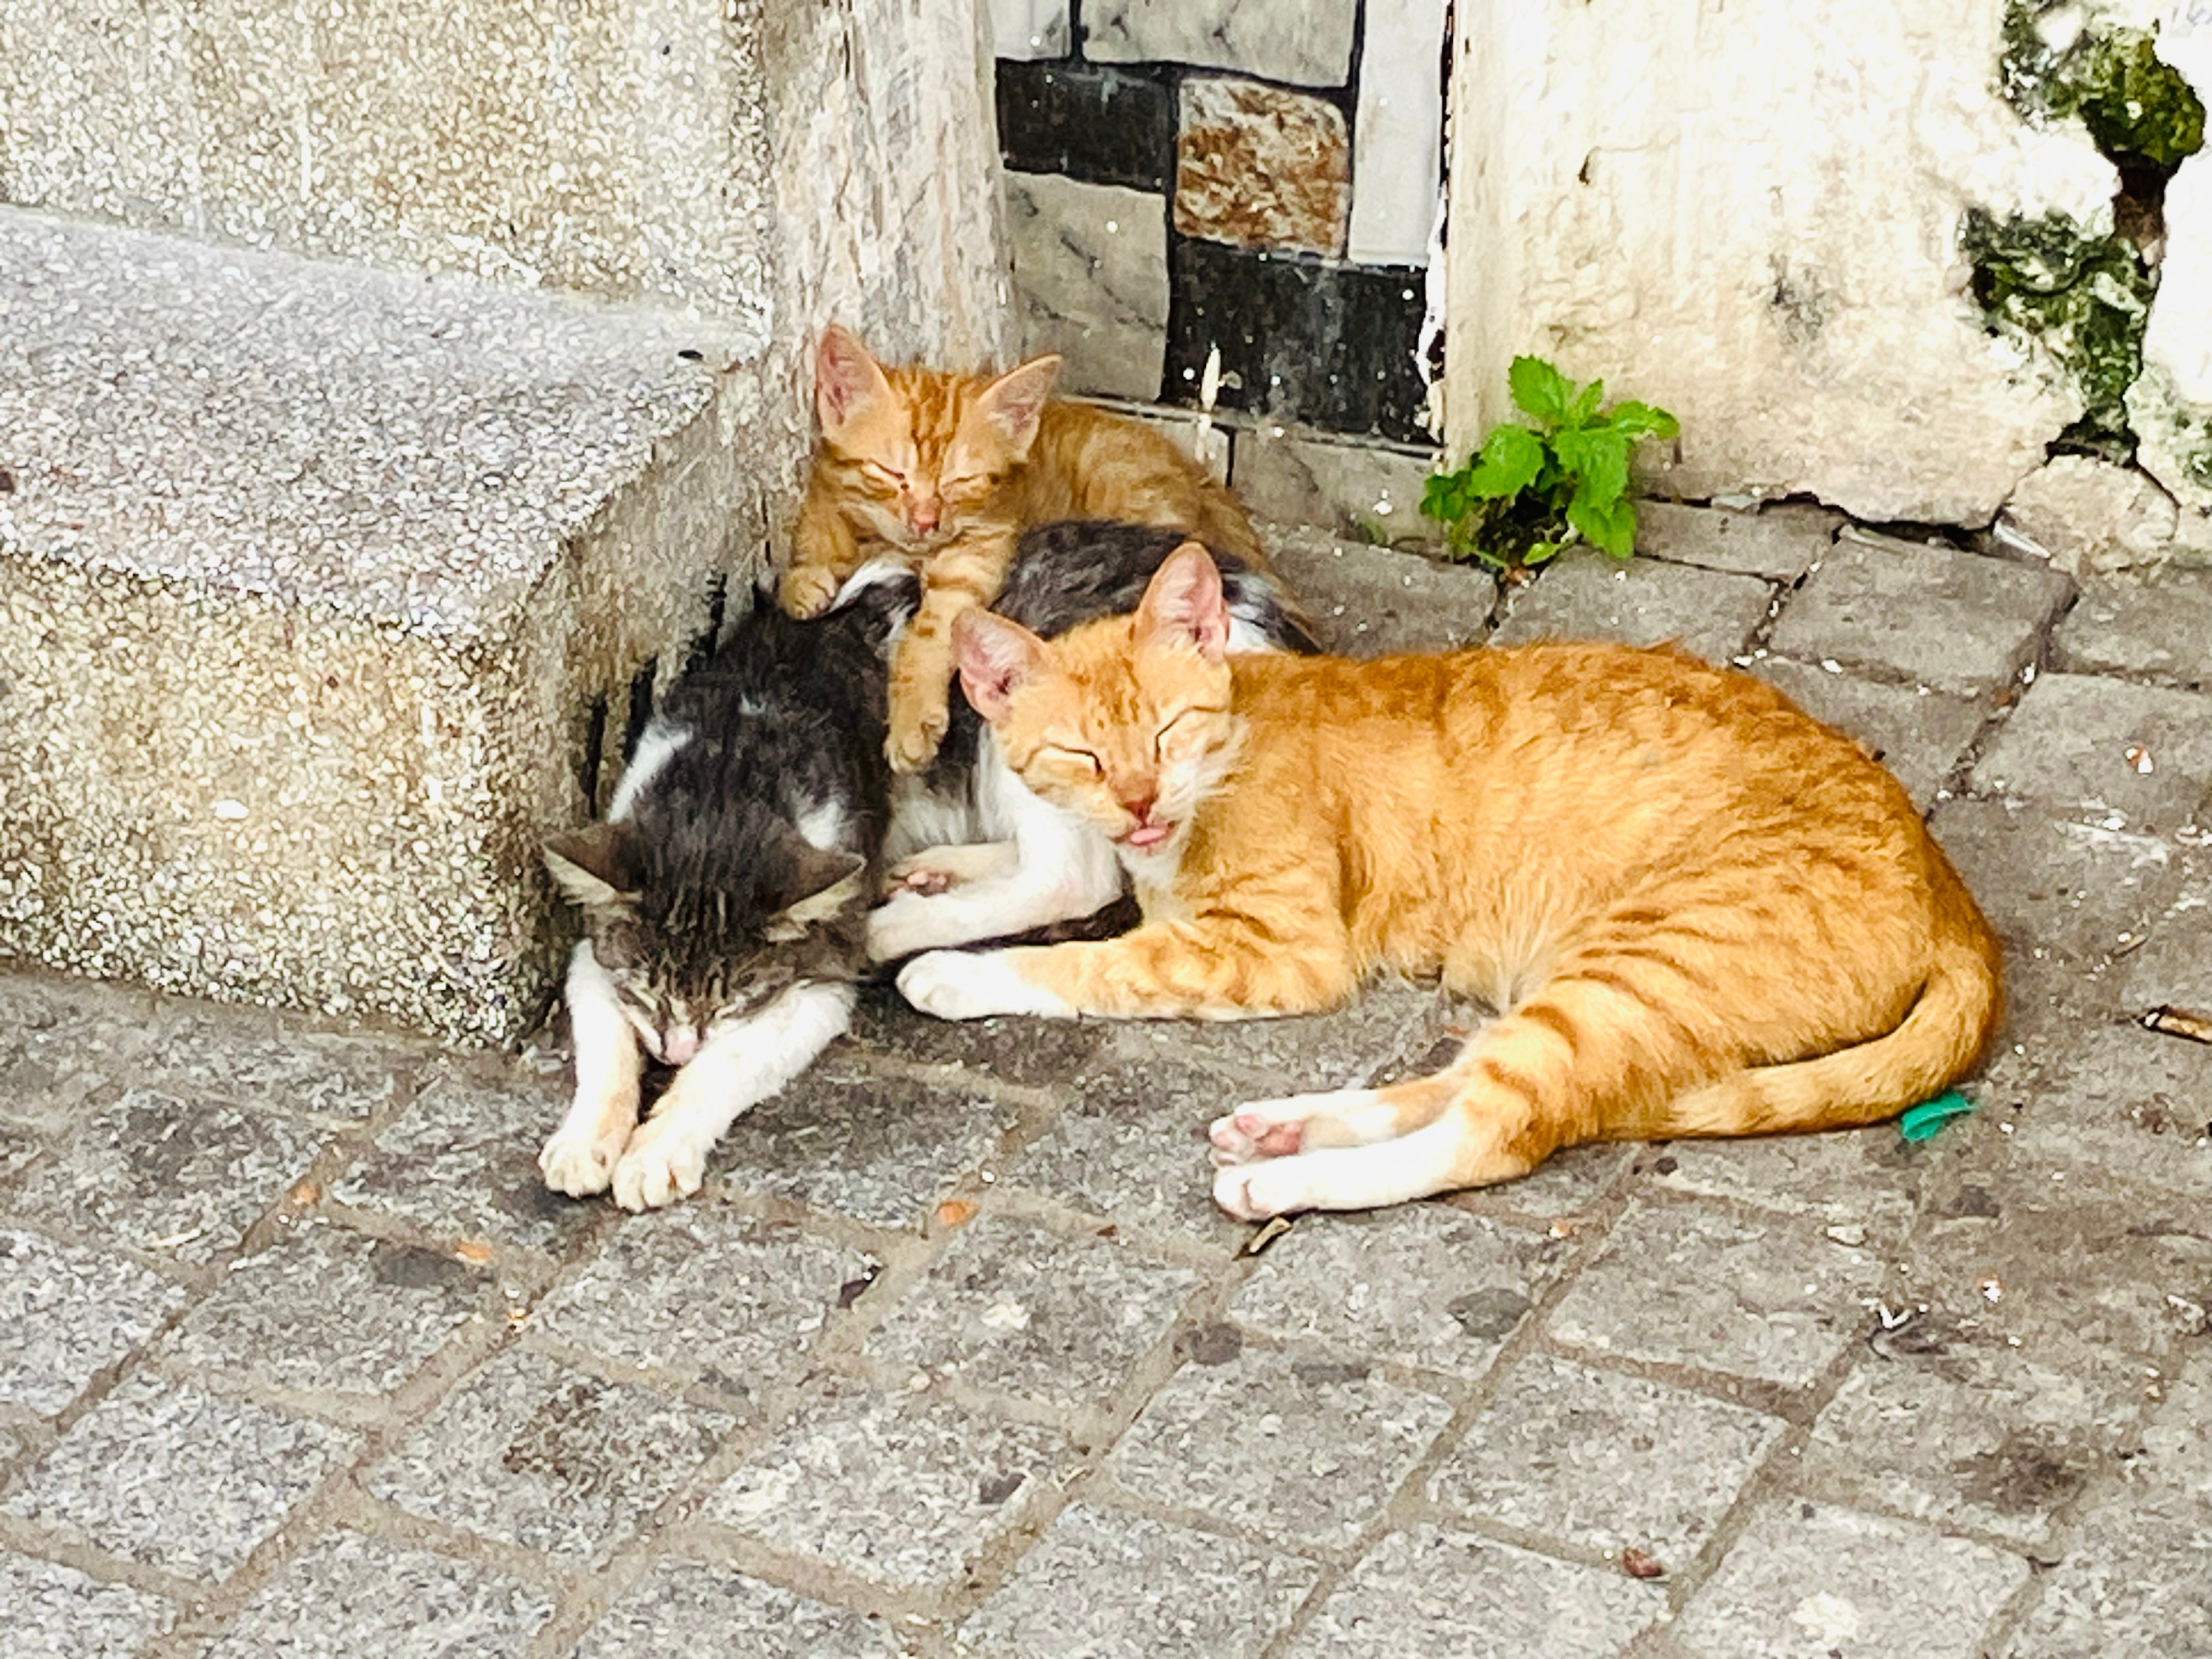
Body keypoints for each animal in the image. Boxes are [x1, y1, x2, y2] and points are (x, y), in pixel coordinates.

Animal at [537, 525, 1311, 1210]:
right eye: (645, 989)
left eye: (735, 997)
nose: (672, 1050)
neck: (727, 768)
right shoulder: (598, 937)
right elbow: (605, 1044)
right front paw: (587, 1141)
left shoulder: (817, 979)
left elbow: (725, 1064)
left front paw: (658, 1148)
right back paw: (931, 870)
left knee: (1073, 876)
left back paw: (900, 921)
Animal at [780, 324, 1267, 776]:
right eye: (892, 474)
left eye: (961, 482)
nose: (925, 521)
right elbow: (817, 535)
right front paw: (804, 580)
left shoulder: (980, 552)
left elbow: (933, 629)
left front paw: (912, 718)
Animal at [895, 544, 2005, 1222]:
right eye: (1083, 755)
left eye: (1167, 733)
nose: (1135, 800)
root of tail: (1951, 890)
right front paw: (930, 876)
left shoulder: (1274, 949)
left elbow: (1097, 961)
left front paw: (952, 965)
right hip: (1595, 984)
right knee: (1468, 1081)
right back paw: (1284, 1126)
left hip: (1631, 971)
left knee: (1497, 1129)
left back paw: (1282, 1180)